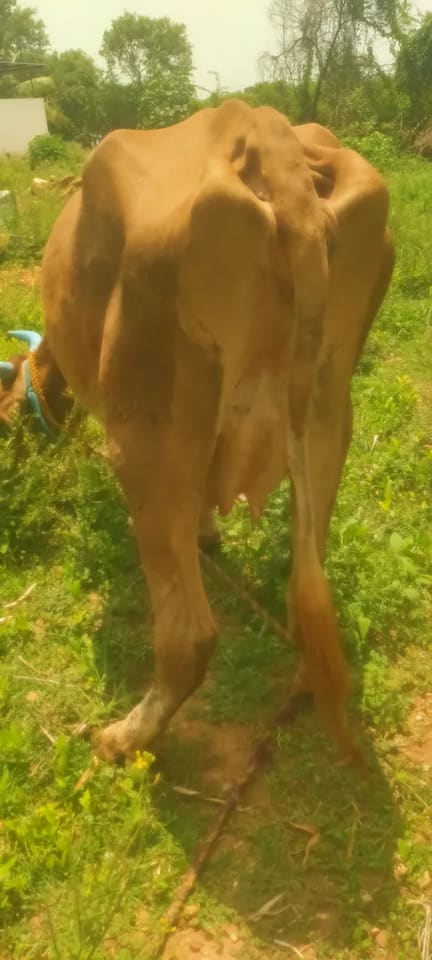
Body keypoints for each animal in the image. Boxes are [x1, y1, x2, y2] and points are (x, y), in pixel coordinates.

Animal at [0, 100, 394, 765]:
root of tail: (262, 130)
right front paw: (209, 533)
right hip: (327, 410)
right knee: (307, 596)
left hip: (145, 430)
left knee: (190, 636)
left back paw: (122, 737)